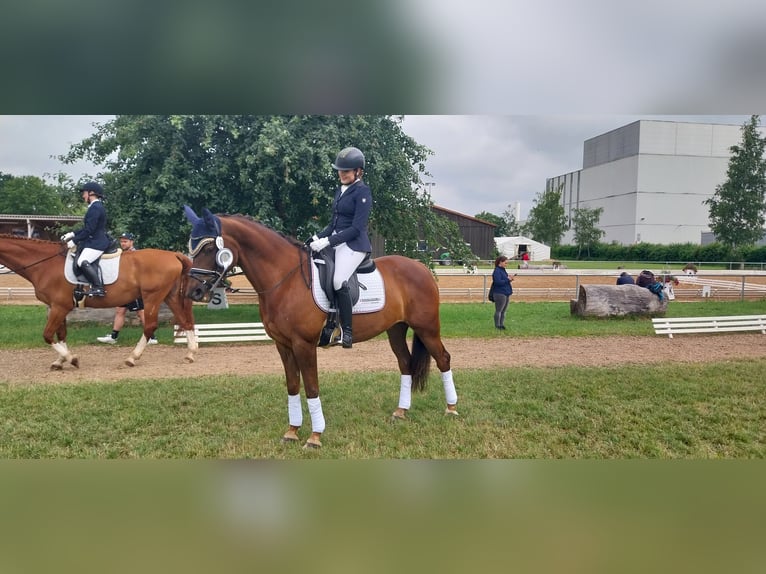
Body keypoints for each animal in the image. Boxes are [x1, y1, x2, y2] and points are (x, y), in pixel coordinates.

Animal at [0, 236, 198, 372]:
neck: (45, 265)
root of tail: (173, 254)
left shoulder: (59, 307)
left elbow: (48, 335)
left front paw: (72, 359)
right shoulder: (59, 307)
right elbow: (61, 334)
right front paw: (60, 361)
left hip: (152, 298)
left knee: (150, 326)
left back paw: (132, 358)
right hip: (169, 296)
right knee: (185, 321)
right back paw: (190, 353)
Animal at [184, 207, 462, 450]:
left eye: (209, 247)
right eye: (192, 247)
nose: (193, 291)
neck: (285, 278)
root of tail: (421, 267)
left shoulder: (304, 344)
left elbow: (311, 387)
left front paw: (315, 437)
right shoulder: (283, 345)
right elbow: (292, 386)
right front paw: (292, 431)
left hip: (427, 328)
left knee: (443, 358)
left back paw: (451, 409)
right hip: (395, 329)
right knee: (405, 362)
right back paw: (401, 412)